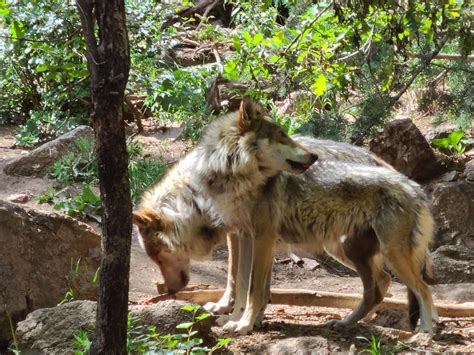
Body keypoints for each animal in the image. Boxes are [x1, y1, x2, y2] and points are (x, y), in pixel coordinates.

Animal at [132, 98, 436, 336]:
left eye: (285, 134)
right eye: (157, 259)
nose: (171, 290)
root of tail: (412, 185)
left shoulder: (260, 237)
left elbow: (249, 286)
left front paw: (243, 323)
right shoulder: (244, 235)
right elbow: (242, 281)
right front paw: (237, 318)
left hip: (387, 253)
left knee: (422, 288)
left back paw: (426, 330)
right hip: (347, 249)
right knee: (380, 286)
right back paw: (347, 323)